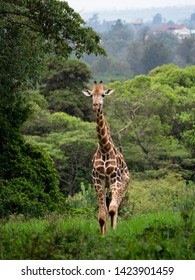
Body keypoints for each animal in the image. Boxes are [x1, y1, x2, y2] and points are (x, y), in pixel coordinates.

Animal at [82, 80, 129, 234]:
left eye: (103, 94)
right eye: (91, 95)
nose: (96, 105)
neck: (104, 148)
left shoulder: (115, 179)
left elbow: (112, 209)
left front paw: (113, 232)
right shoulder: (98, 180)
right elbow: (102, 215)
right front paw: (103, 235)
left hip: (123, 185)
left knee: (116, 207)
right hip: (107, 185)